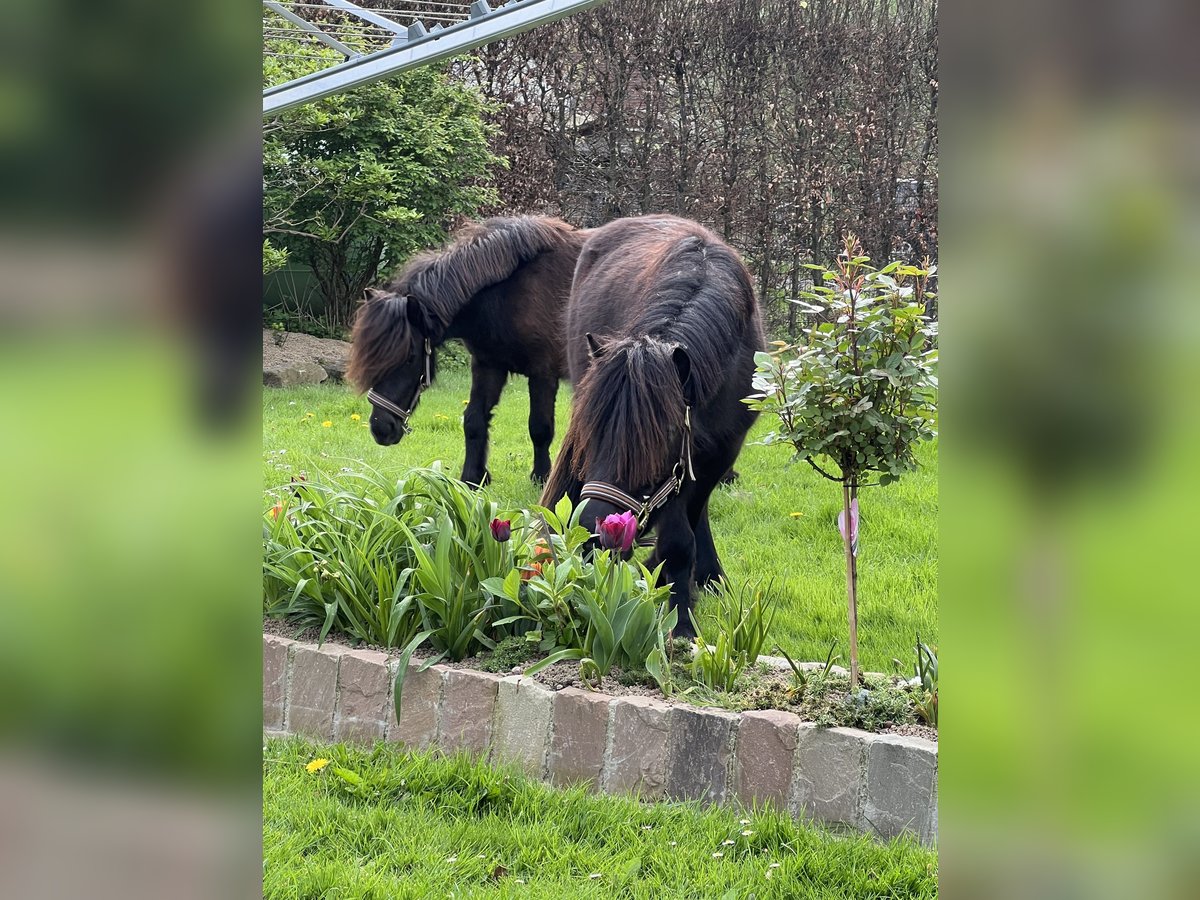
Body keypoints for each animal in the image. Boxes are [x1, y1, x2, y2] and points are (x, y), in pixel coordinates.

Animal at [345, 216, 588, 487]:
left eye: (409, 358)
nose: (380, 429)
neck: (508, 293)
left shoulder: (542, 373)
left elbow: (540, 428)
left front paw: (541, 477)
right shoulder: (487, 365)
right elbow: (474, 420)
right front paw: (473, 478)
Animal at [542, 217, 763, 643]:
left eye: (657, 443)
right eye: (591, 433)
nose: (593, 534)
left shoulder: (716, 453)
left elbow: (683, 532)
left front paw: (681, 615)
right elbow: (678, 535)